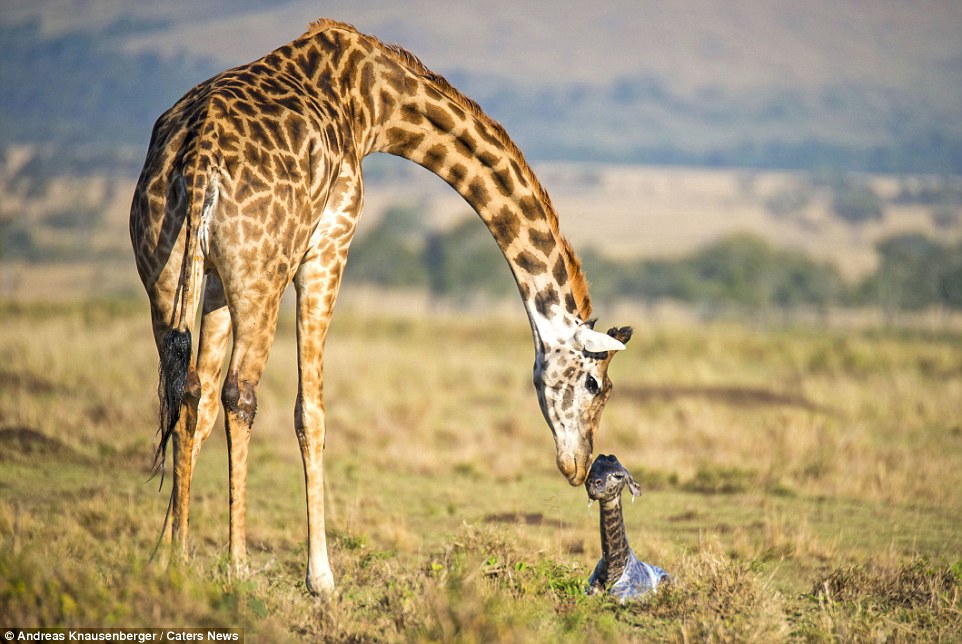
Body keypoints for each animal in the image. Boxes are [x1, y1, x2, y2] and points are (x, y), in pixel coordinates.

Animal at [129, 18, 632, 592]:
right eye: (595, 385)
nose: (579, 467)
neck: (372, 102)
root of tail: (199, 162)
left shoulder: (213, 279)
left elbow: (200, 403)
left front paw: (172, 554)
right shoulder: (329, 244)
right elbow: (309, 411)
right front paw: (321, 578)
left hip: (168, 273)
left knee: (186, 389)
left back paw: (179, 559)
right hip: (262, 275)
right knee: (242, 393)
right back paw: (239, 568)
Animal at [584, 452, 668, 600]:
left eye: (618, 475)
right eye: (591, 469)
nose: (593, 483)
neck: (611, 566)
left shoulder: (622, 596)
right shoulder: (590, 589)